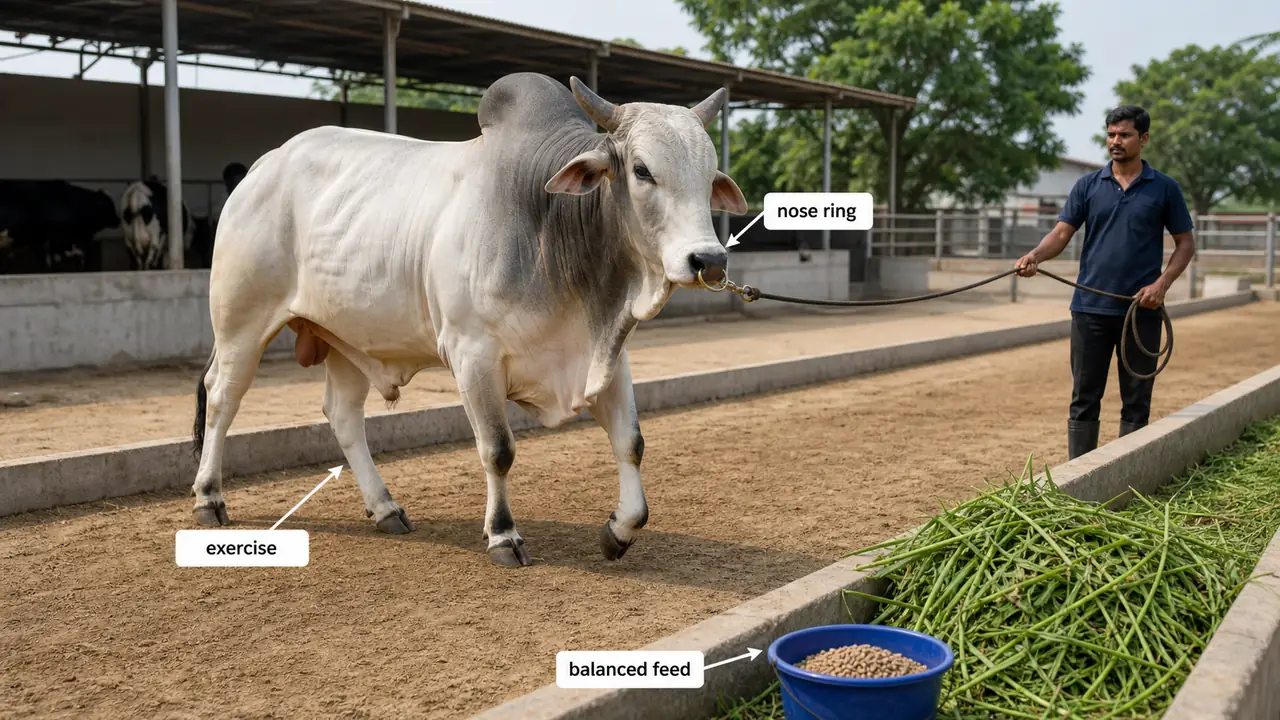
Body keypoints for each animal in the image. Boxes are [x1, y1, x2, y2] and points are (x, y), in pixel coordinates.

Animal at [190, 72, 748, 568]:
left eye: (709, 177)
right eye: (641, 170)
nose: (708, 260)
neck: (549, 224)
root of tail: (263, 169)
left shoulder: (608, 354)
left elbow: (631, 443)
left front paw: (619, 532)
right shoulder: (472, 353)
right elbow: (497, 450)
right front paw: (503, 536)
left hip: (349, 338)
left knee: (343, 416)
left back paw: (385, 508)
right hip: (240, 324)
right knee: (221, 399)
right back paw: (209, 497)